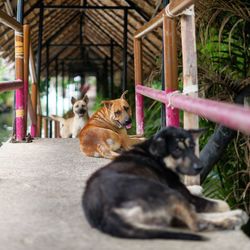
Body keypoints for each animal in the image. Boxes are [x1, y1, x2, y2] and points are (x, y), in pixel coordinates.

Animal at [82, 127, 248, 240]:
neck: (155, 155)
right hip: (166, 193)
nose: (200, 167)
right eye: (177, 150)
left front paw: (196, 186)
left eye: (192, 147)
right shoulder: (185, 195)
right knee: (196, 222)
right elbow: (222, 204)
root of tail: (104, 213)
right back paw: (233, 218)